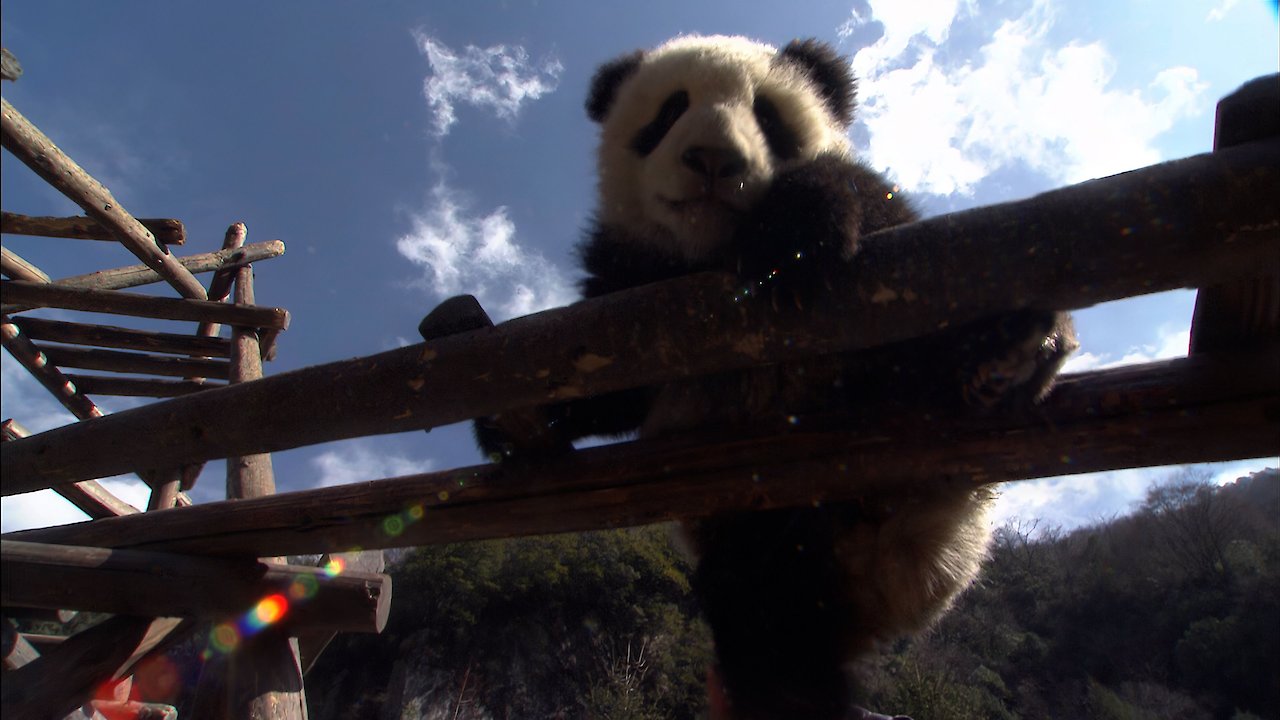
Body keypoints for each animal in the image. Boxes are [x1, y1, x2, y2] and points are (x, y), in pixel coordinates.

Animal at [467, 34, 1077, 719]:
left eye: (766, 113)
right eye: (670, 111)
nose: (712, 158)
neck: (711, 253)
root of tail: (900, 555)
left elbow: (878, 215)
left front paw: (795, 237)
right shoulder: (630, 277)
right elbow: (607, 379)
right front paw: (513, 421)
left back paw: (1010, 353)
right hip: (762, 531)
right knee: (768, 624)